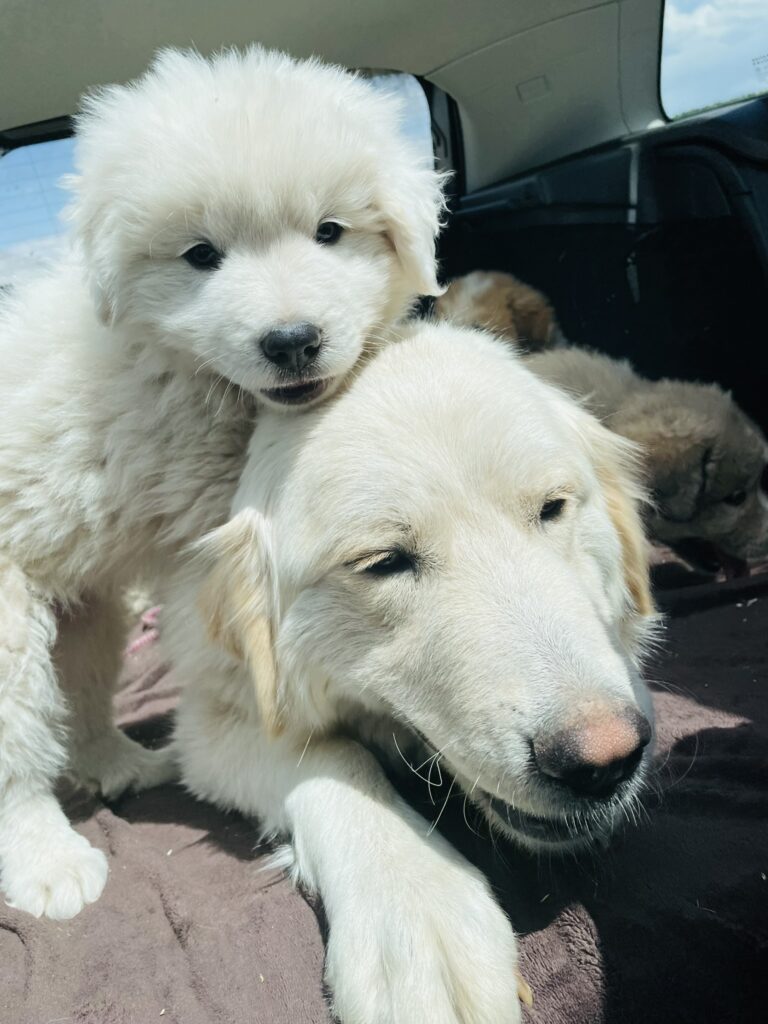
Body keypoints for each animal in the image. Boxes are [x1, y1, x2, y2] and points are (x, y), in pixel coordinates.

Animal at [0, 46, 444, 921]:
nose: (292, 340)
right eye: (201, 255)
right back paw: (46, 862)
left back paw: (121, 764)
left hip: (87, 606)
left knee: (83, 691)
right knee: (20, 733)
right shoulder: (206, 503)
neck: (192, 376)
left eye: (330, 231)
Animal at [165, 323, 659, 1024]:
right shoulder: (206, 723)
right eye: (384, 562)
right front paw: (418, 914)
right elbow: (334, 756)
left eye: (553, 508)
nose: (605, 761)